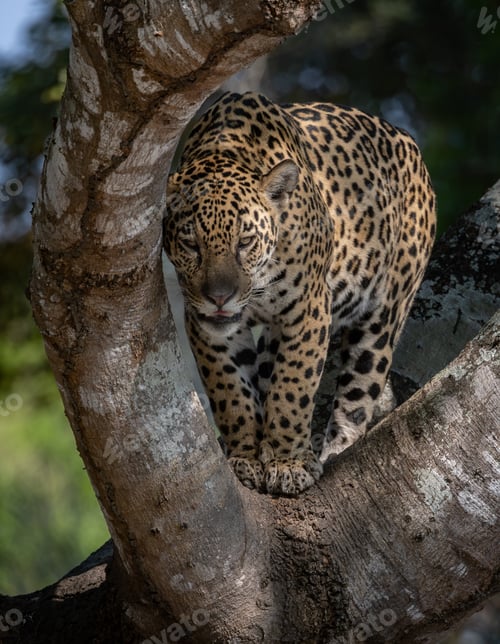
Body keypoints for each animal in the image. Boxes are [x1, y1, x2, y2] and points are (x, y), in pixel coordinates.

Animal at [163, 91, 436, 496]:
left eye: (245, 242)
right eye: (191, 244)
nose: (219, 298)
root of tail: (405, 139)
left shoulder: (309, 308)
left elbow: (293, 386)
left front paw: (289, 464)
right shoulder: (204, 323)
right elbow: (230, 390)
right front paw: (245, 456)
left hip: (385, 313)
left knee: (360, 390)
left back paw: (336, 448)